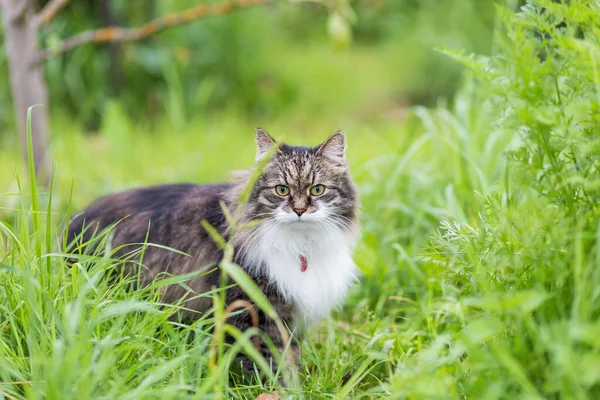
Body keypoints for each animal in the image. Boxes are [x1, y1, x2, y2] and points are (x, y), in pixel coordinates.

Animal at [64, 129, 360, 378]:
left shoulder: (290, 313)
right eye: (282, 190)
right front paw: (281, 389)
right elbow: (270, 361)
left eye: (317, 190)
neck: (301, 245)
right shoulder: (252, 313)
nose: (299, 210)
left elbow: (290, 355)